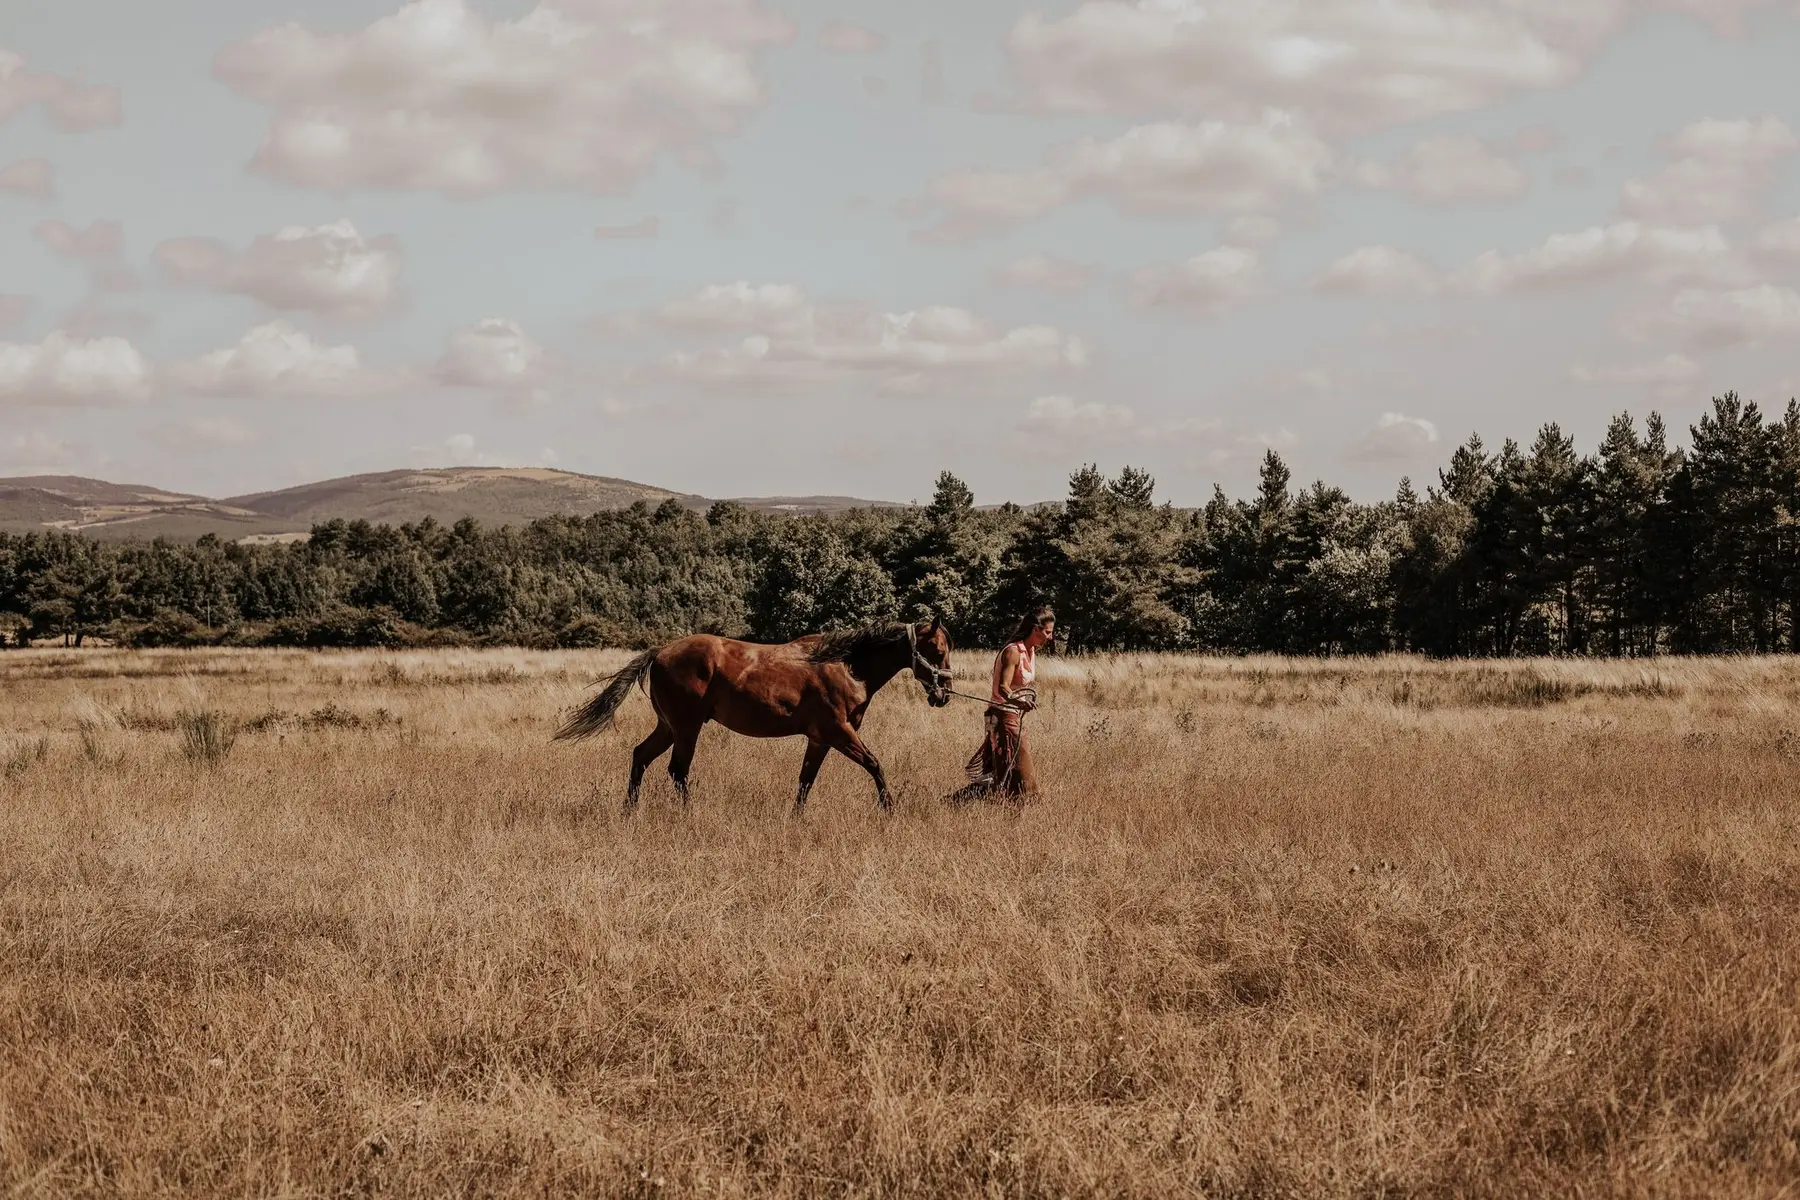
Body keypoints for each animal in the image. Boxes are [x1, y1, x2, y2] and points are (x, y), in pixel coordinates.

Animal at [553, 619, 954, 811]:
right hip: (686, 728)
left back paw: (630, 810)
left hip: (668, 727)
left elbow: (806, 781)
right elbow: (874, 764)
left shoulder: (820, 739)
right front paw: (889, 809)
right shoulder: (839, 732)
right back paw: (688, 815)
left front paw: (796, 818)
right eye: (936, 649)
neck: (845, 665)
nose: (944, 693)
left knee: (641, 757)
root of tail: (661, 651)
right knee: (678, 771)